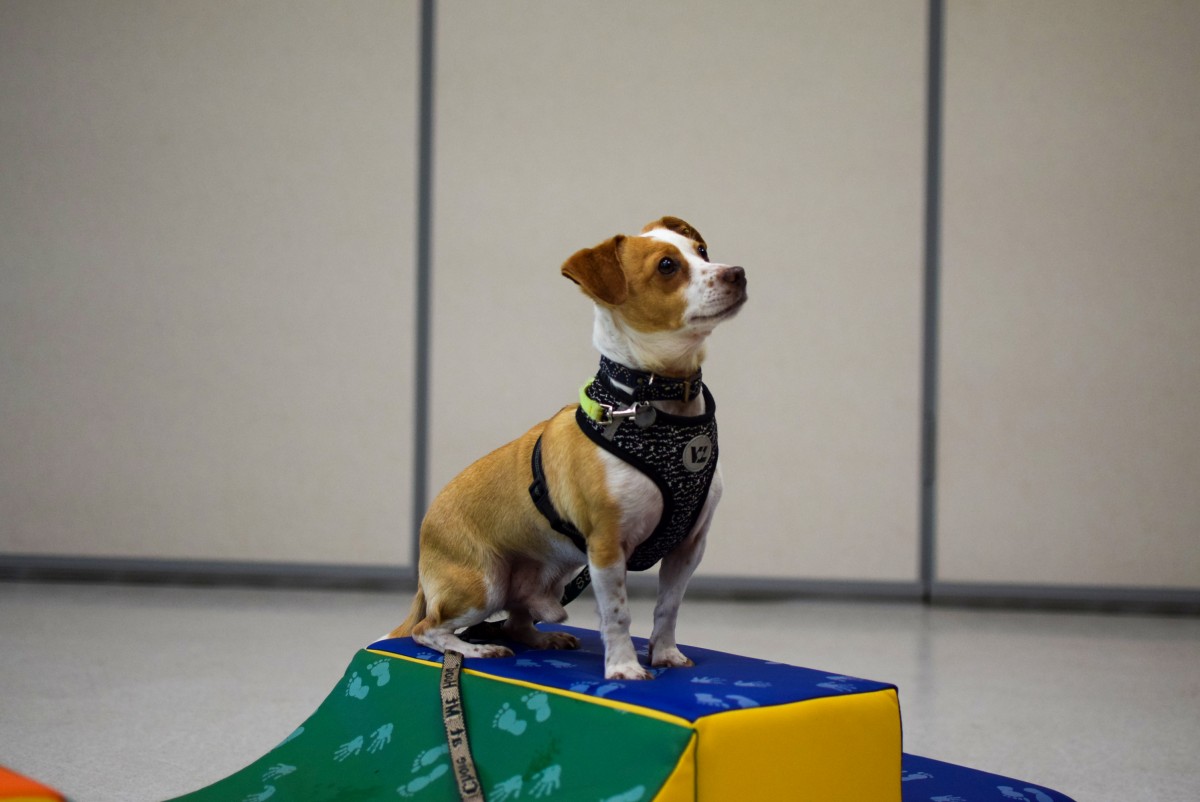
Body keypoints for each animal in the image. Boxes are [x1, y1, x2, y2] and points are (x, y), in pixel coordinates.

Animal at [389, 216, 747, 680]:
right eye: (667, 266)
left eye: (702, 251)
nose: (737, 273)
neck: (651, 399)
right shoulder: (607, 547)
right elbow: (618, 614)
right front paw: (624, 668)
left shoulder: (688, 548)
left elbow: (668, 608)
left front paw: (665, 654)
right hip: (482, 584)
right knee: (428, 629)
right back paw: (476, 649)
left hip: (547, 576)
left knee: (517, 620)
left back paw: (543, 638)